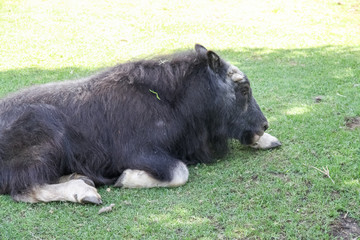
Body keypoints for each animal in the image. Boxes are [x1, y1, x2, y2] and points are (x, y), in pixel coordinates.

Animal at [0, 44, 280, 203]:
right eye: (243, 88)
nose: (264, 125)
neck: (173, 100)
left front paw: (268, 140)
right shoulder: (137, 152)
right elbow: (179, 172)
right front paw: (126, 178)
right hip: (46, 141)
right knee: (25, 188)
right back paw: (85, 192)